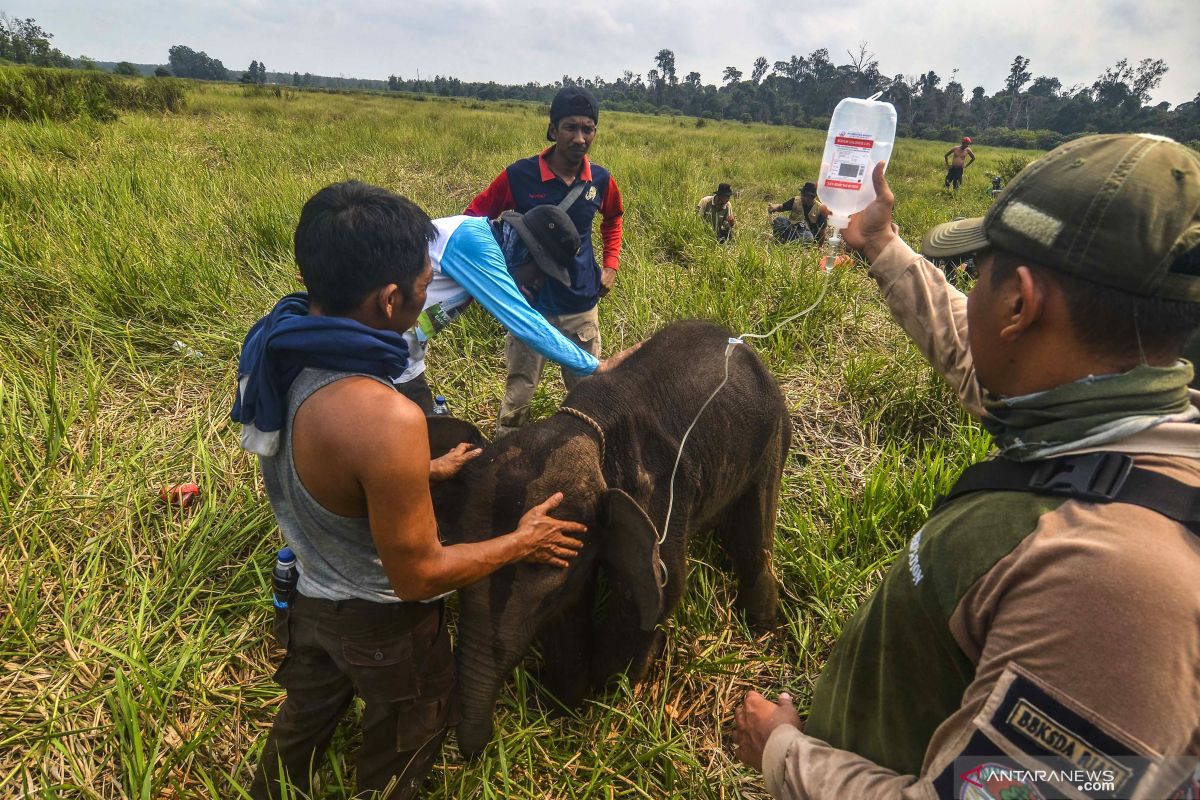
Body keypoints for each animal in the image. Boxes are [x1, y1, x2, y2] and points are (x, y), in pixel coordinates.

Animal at [427, 319, 792, 758]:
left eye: (546, 597)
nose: (475, 750)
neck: (586, 424)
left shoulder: (661, 497)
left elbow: (656, 594)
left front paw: (609, 694)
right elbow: (577, 609)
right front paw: (567, 701)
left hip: (771, 437)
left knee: (754, 539)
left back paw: (761, 628)